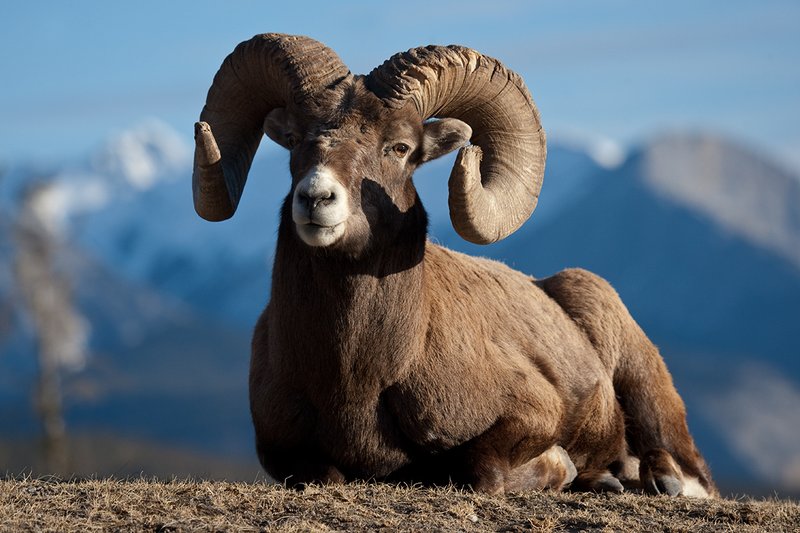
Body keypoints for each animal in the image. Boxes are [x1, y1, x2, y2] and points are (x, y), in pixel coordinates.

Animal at [192, 33, 717, 497]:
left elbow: (478, 469)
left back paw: (659, 482)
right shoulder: (281, 451)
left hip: (643, 386)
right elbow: (322, 475)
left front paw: (557, 468)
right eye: (296, 139)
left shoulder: (534, 411)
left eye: (399, 148)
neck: (359, 376)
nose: (316, 198)